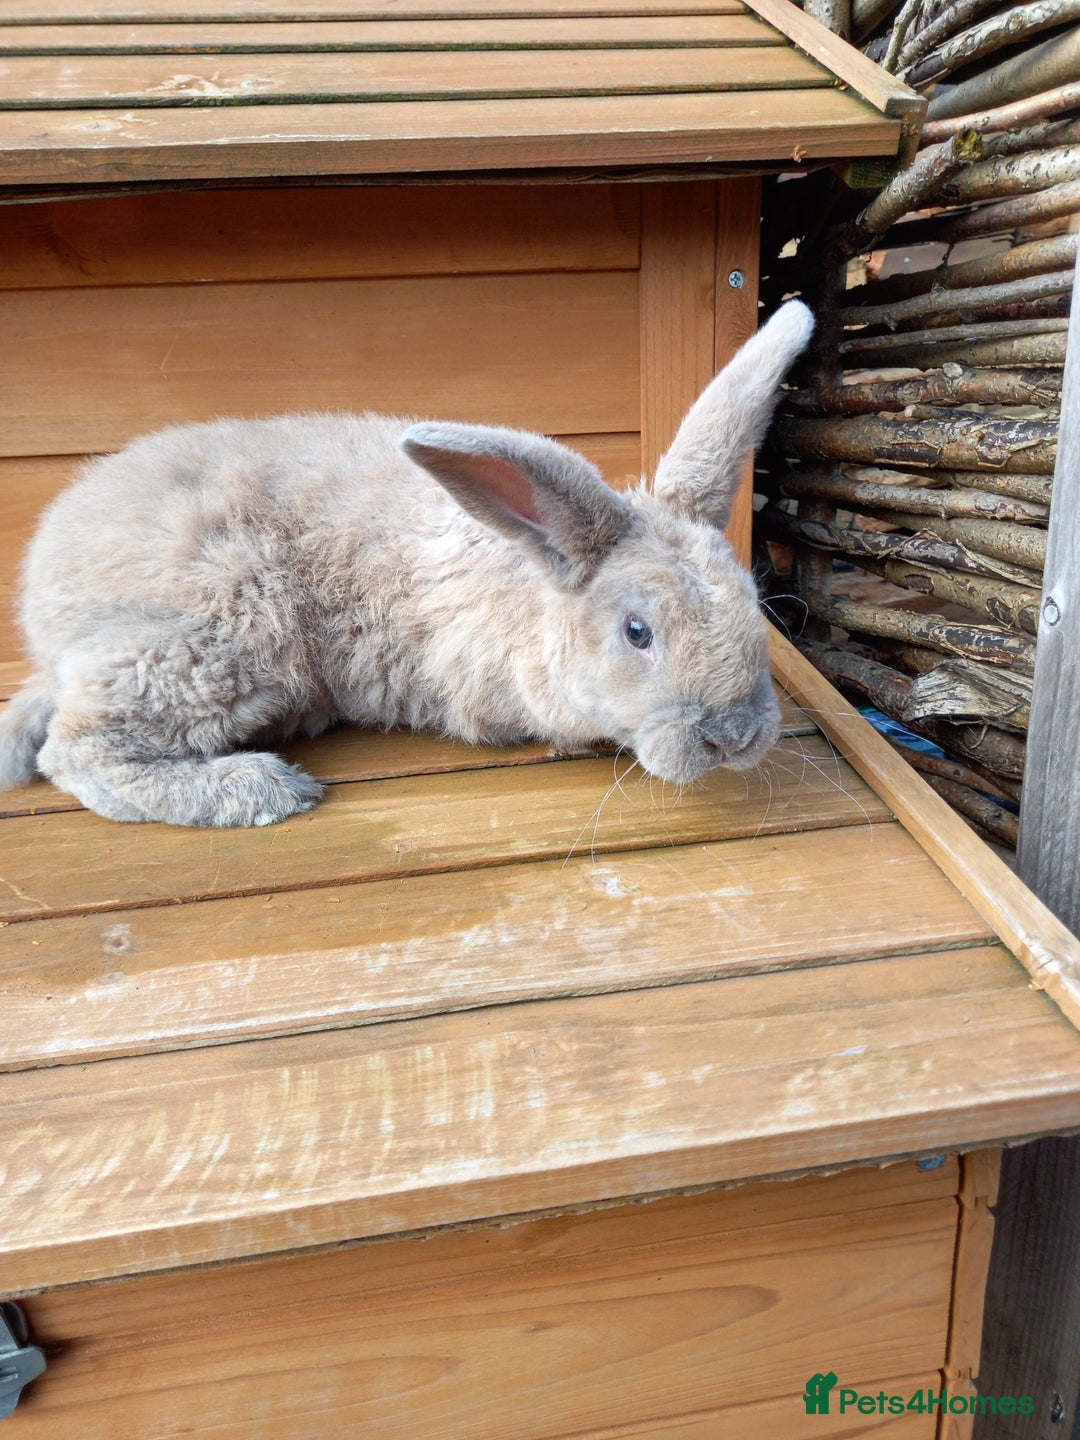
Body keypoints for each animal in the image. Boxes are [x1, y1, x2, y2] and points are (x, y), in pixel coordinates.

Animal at [0, 299, 813, 828]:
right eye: (637, 632)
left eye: (752, 603)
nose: (734, 736)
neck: (529, 585)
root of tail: (41, 602)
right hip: (220, 638)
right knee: (76, 752)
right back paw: (261, 791)